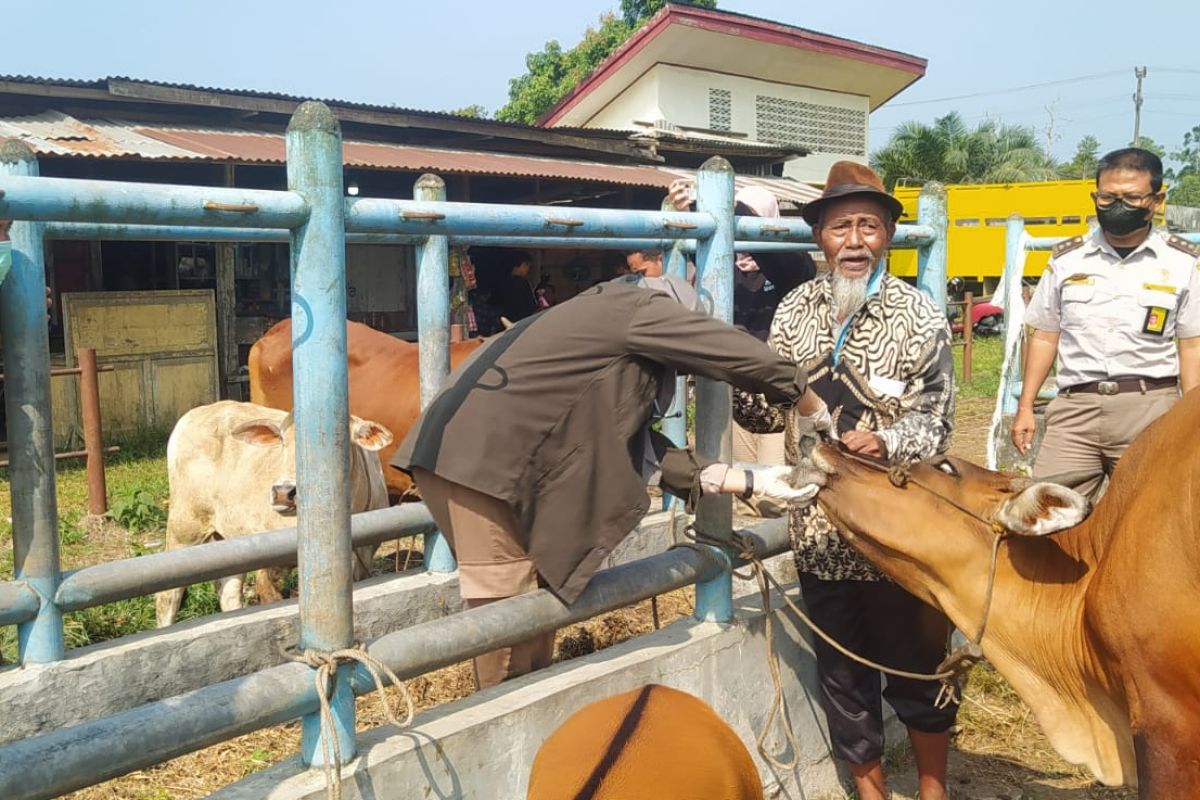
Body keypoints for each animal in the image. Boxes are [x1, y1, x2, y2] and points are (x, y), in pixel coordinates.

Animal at [154, 400, 393, 623]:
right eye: (281, 441)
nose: (283, 492)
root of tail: (196, 413)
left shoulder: (364, 560)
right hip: (184, 528)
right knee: (167, 597)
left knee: (228, 592)